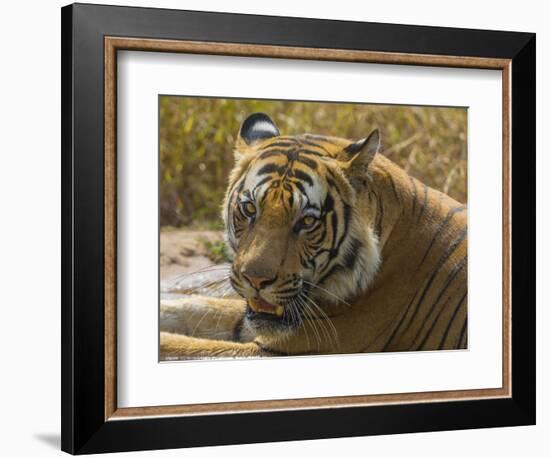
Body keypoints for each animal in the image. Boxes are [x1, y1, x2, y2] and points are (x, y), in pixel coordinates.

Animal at [161, 111, 470, 358]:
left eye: (307, 221)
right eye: (249, 209)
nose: (256, 280)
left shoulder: (288, 347)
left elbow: (185, 347)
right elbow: (201, 308)